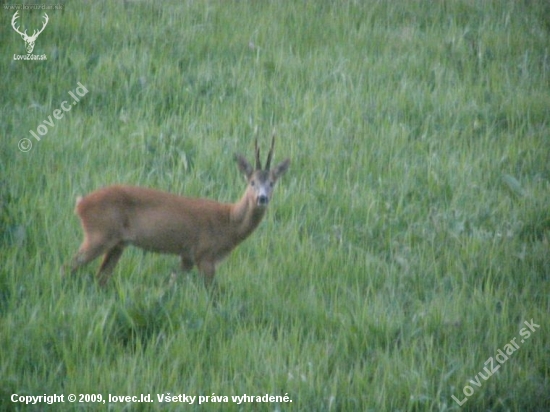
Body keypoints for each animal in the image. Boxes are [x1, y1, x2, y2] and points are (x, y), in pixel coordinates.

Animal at [65, 135, 292, 286]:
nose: (262, 198)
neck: (229, 222)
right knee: (69, 266)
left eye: (272, 183)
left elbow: (171, 282)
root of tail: (80, 205)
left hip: (118, 243)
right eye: (252, 182)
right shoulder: (204, 254)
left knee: (101, 276)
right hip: (98, 234)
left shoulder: (187, 257)